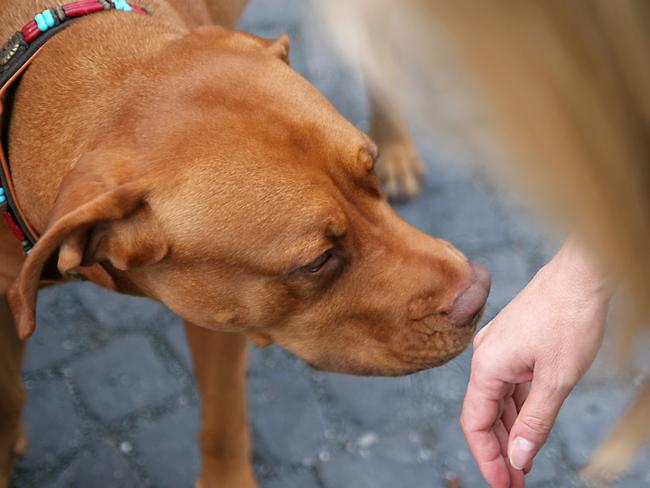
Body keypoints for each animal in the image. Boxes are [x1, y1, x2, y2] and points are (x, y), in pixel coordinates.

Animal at [0, 1, 486, 486]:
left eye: (372, 175)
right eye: (317, 261)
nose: (480, 296)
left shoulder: (221, 325)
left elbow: (223, 420)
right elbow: (7, 396)